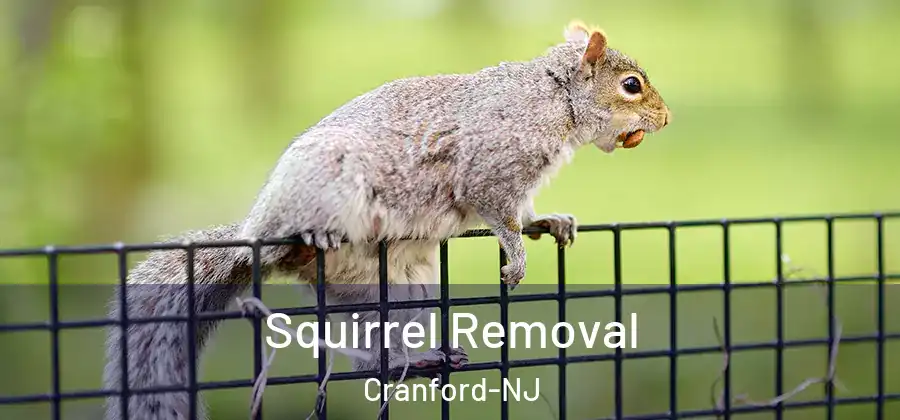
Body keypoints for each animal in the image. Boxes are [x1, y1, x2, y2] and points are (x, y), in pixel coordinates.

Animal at [102, 20, 670, 420]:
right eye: (631, 85)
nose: (666, 119)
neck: (554, 98)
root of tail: (252, 236)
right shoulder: (489, 167)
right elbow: (498, 214)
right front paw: (516, 257)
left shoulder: (520, 183)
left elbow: (525, 212)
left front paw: (550, 222)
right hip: (325, 187)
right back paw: (309, 239)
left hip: (397, 290)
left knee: (371, 356)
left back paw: (413, 360)